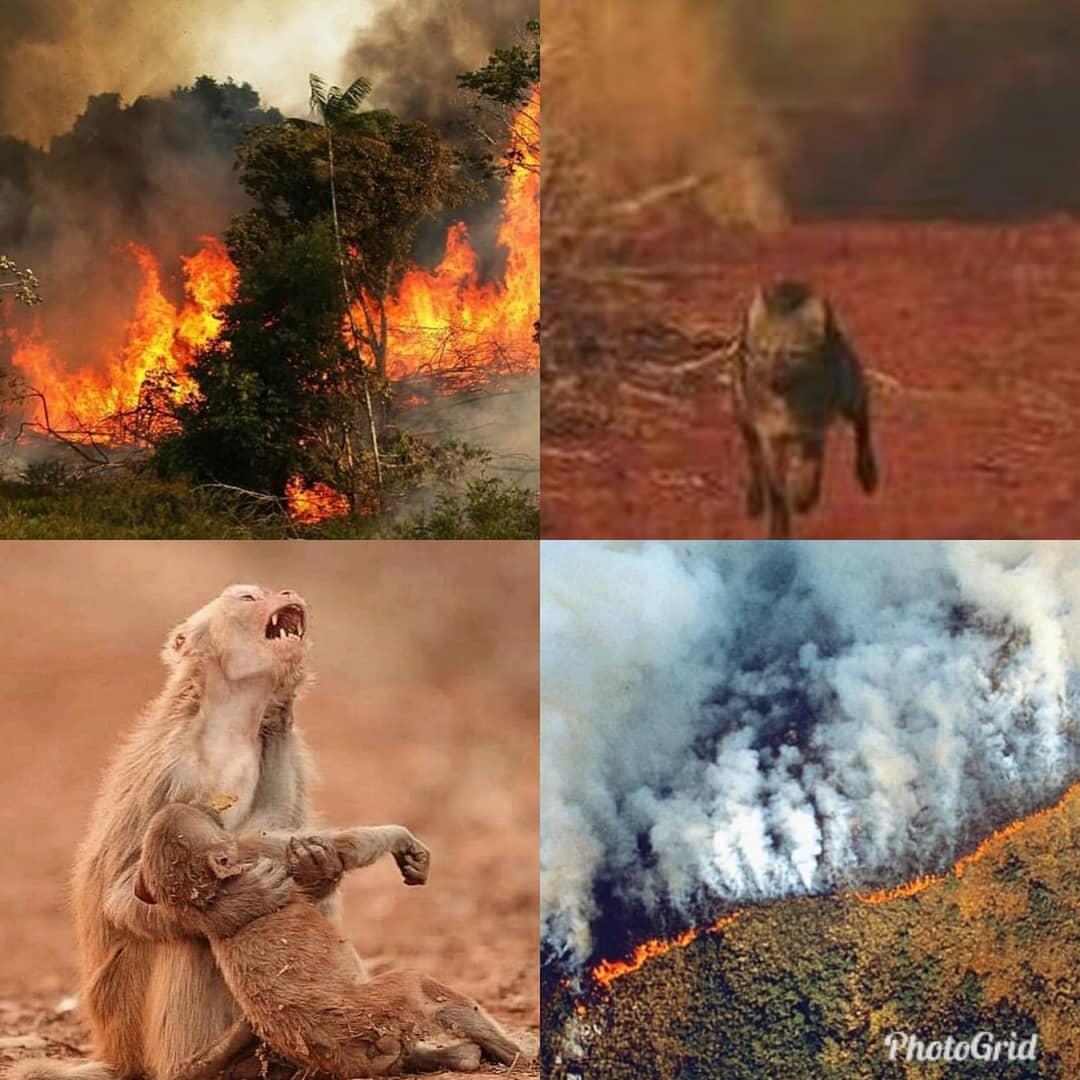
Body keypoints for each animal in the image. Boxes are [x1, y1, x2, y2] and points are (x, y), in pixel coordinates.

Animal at [10, 587, 429, 1080]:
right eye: (247, 596)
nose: (286, 592)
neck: (229, 725)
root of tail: (114, 1052)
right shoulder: (172, 773)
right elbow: (125, 893)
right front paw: (239, 905)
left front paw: (319, 865)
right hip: (131, 1025)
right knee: (187, 936)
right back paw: (204, 1062)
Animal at [133, 799, 522, 1075]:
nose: (208, 805)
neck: (210, 895)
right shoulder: (253, 849)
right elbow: (344, 847)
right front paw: (403, 840)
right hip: (384, 1003)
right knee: (424, 988)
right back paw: (514, 1051)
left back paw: (462, 1056)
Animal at [734, 280, 876, 540]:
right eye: (763, 352)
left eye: (794, 354)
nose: (772, 382)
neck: (786, 408)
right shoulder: (770, 438)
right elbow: (777, 491)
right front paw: (779, 527)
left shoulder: (813, 429)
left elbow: (811, 466)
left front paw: (804, 496)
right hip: (743, 417)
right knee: (753, 461)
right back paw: (755, 498)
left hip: (848, 396)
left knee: (863, 419)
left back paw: (867, 472)